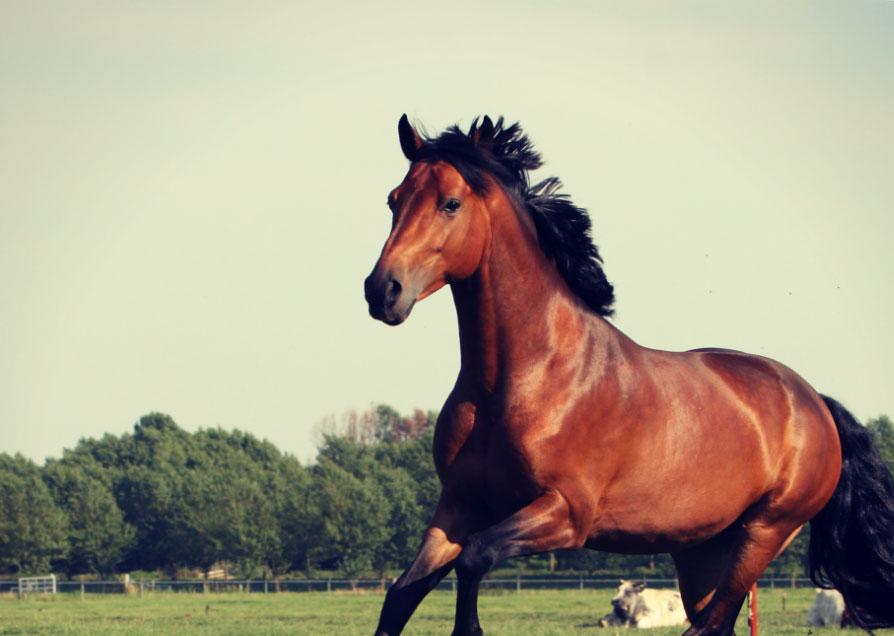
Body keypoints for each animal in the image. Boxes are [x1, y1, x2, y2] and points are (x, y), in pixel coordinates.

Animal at [363, 114, 894, 636]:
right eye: (394, 199)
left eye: (451, 204)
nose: (382, 290)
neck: (520, 379)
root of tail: (814, 401)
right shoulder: (458, 506)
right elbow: (399, 597)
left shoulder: (565, 513)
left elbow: (473, 560)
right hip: (700, 549)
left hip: (764, 534)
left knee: (709, 626)